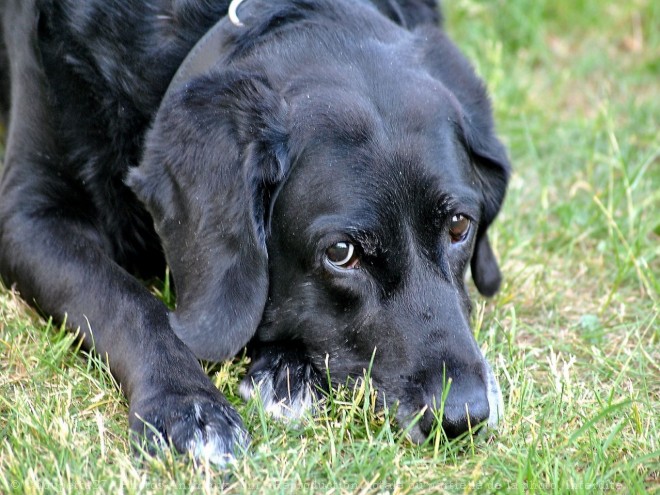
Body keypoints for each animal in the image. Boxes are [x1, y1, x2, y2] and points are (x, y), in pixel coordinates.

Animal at [0, 0, 510, 464]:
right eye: (341, 253)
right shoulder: (27, 218)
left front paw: (285, 367)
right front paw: (186, 405)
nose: (464, 416)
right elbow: (126, 302)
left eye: (460, 225)